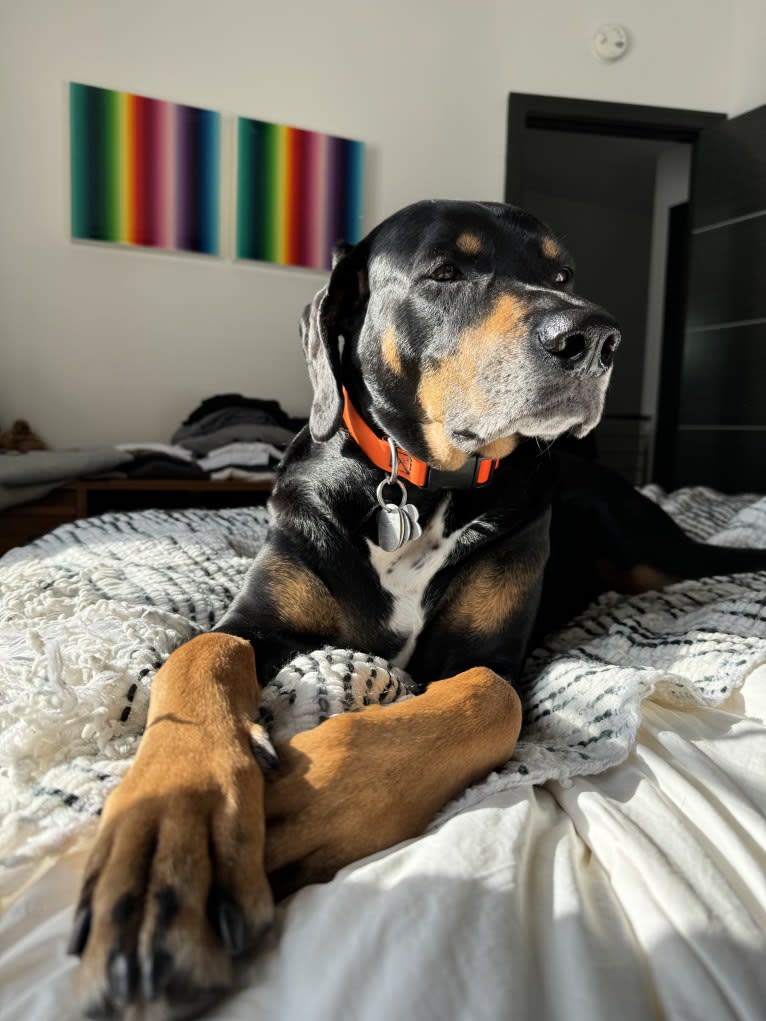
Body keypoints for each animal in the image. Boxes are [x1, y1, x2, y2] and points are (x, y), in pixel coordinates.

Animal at [67, 199, 766, 1012]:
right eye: (445, 272)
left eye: (562, 275)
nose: (595, 337)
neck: (419, 487)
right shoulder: (258, 619)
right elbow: (201, 653)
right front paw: (171, 834)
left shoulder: (489, 654)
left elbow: (486, 697)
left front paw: (292, 813)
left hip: (656, 556)